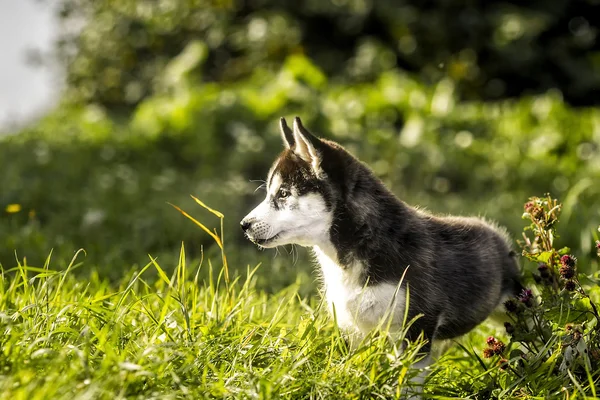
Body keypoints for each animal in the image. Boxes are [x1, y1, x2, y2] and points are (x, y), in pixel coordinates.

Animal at [239, 118, 520, 378]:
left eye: (283, 194)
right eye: (272, 193)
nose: (244, 224)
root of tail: (495, 232)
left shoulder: (417, 327)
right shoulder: (352, 329)